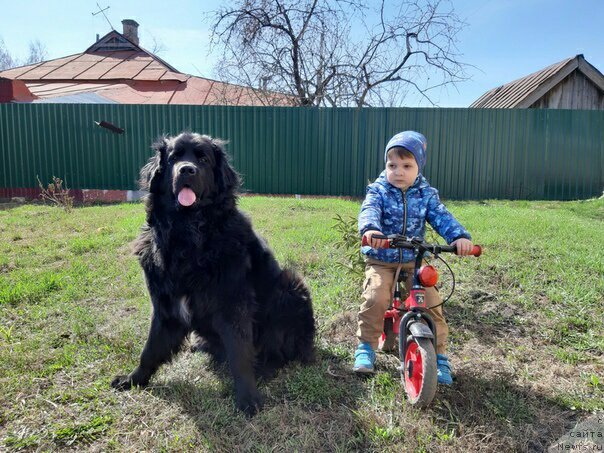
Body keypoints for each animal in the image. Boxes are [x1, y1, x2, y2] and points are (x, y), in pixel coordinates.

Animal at [111, 131, 316, 414]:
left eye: (204, 159)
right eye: (174, 157)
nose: (187, 170)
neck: (189, 235)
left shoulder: (234, 306)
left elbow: (240, 355)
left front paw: (248, 398)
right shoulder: (165, 306)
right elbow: (150, 349)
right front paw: (134, 379)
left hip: (290, 286)